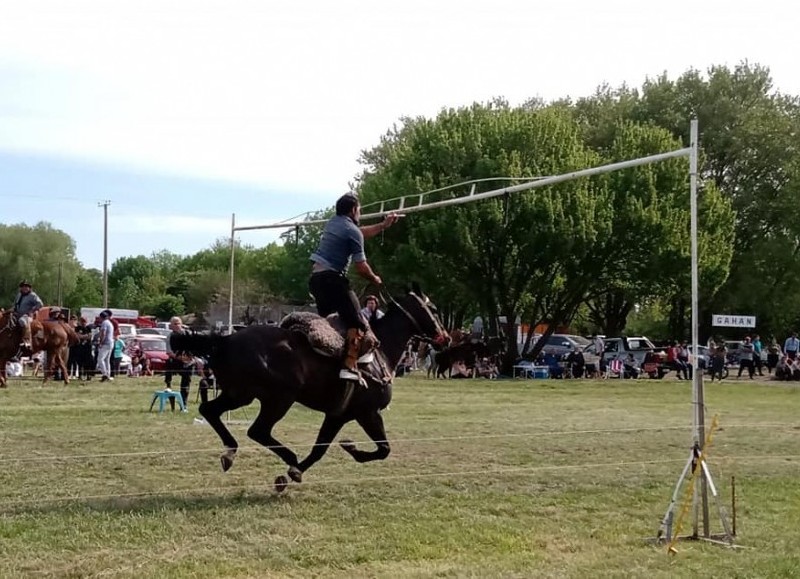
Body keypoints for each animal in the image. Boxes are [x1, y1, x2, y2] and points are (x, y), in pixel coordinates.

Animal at [170, 288, 450, 492]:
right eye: (434, 309)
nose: (445, 337)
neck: (378, 354)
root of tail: (225, 339)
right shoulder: (368, 413)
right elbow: (383, 450)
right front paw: (349, 449)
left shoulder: (338, 415)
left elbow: (319, 449)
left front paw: (291, 474)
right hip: (277, 398)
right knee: (257, 430)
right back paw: (287, 457)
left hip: (239, 394)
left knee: (210, 410)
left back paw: (230, 452)